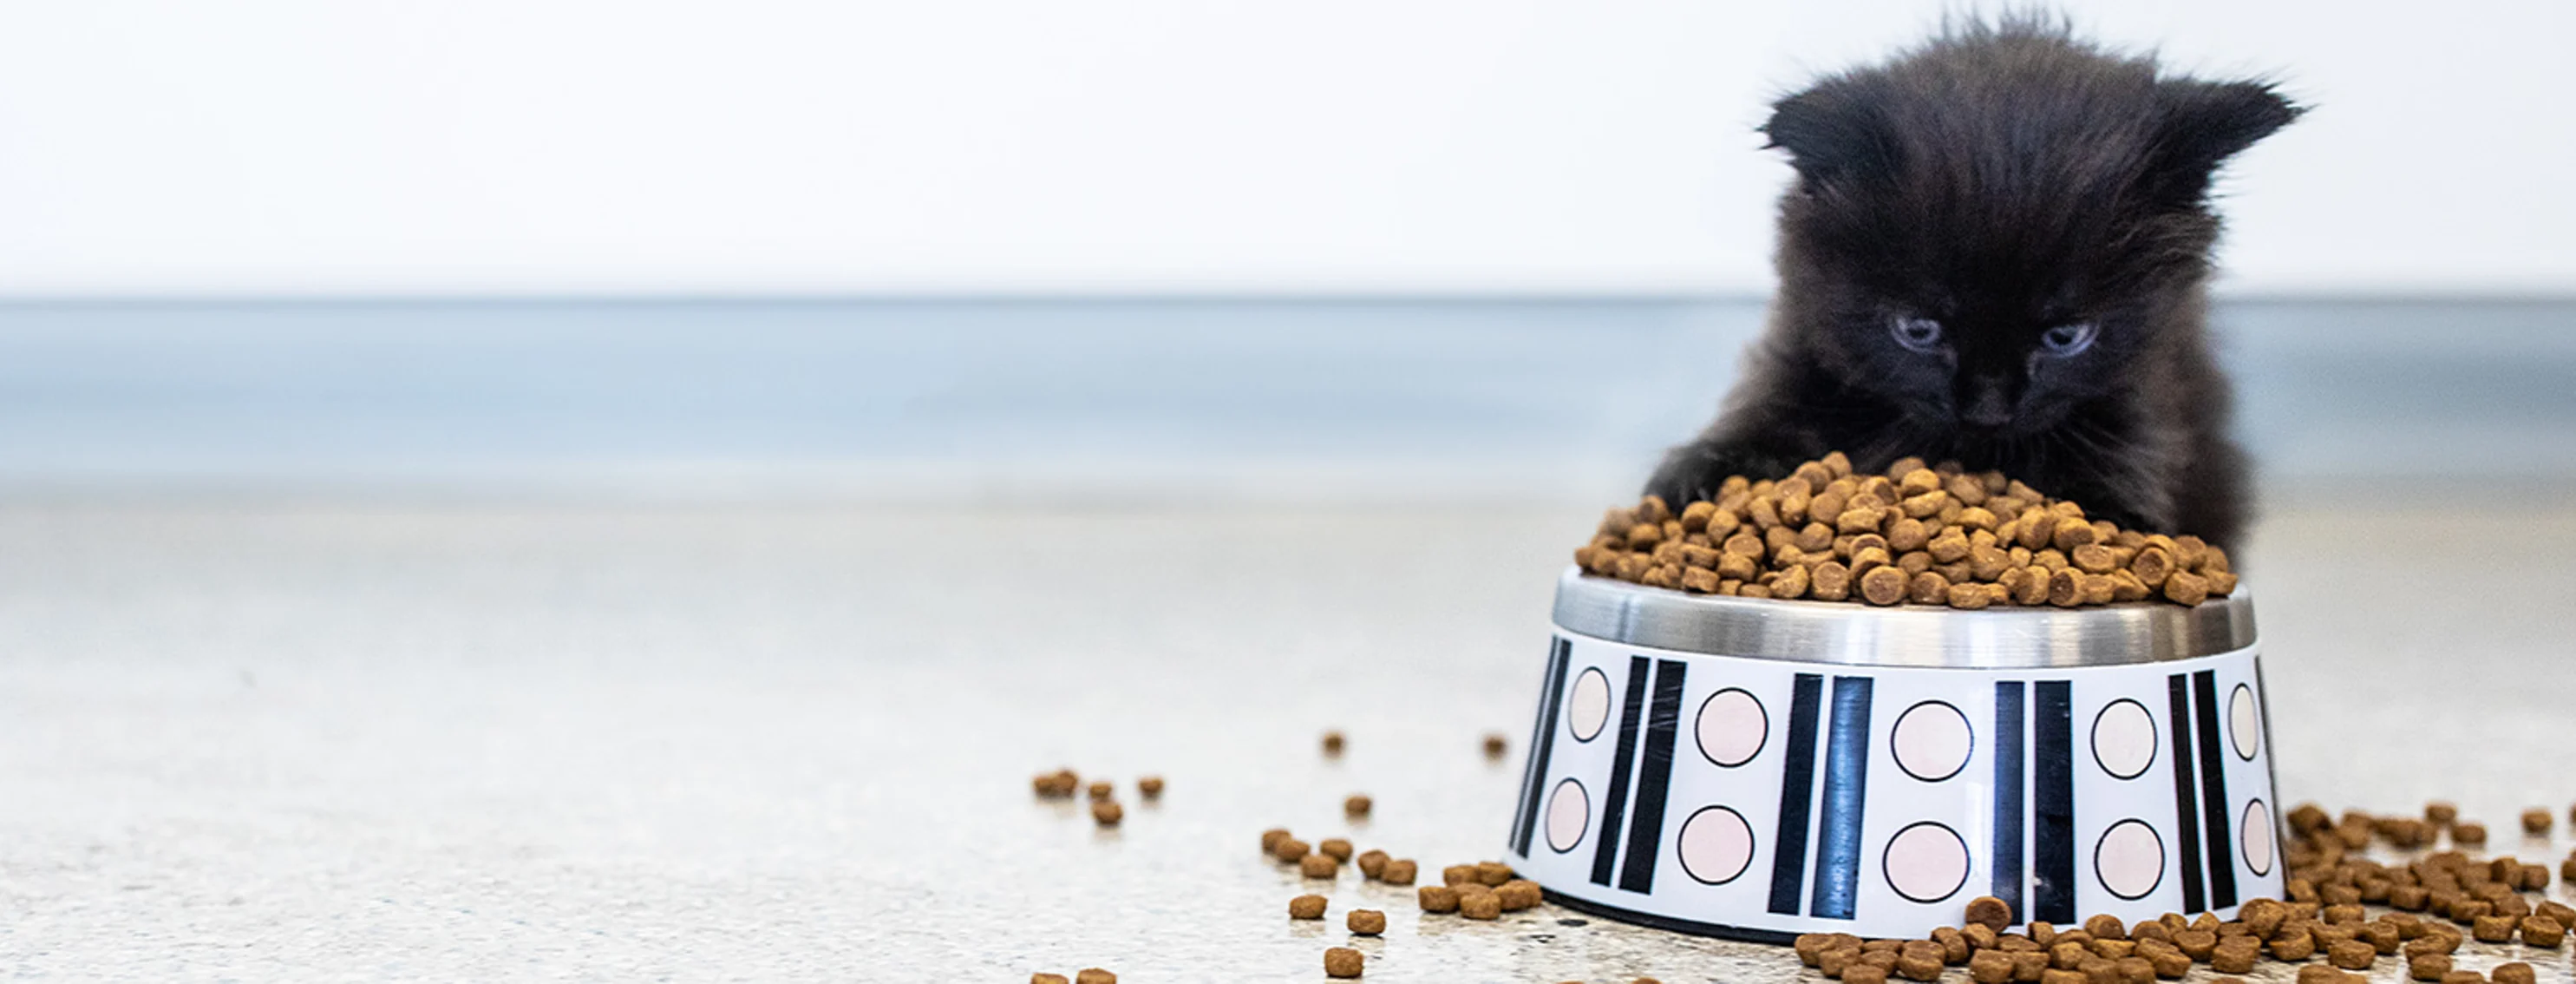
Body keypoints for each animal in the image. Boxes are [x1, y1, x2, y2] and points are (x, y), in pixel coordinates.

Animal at [1648, 15, 2298, 548]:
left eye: (2066, 337)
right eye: (1918, 329)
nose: (1987, 411)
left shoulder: (2150, 379)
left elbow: (2130, 446)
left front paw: (2109, 516)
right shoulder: (1803, 350)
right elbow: (1768, 411)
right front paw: (1701, 473)